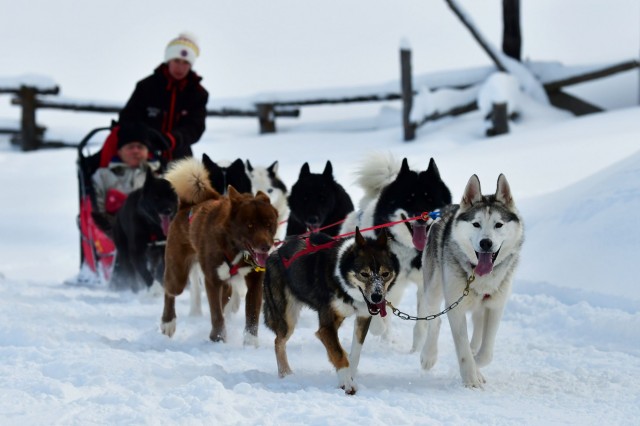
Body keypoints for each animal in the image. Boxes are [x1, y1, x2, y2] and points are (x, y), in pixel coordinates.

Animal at [160, 158, 278, 344]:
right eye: (250, 225)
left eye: (269, 224)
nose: (265, 246)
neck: (234, 248)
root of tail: (188, 205)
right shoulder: (212, 280)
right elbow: (216, 314)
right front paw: (218, 339)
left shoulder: (254, 281)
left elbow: (252, 316)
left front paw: (250, 343)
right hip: (177, 274)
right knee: (170, 291)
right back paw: (168, 323)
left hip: (227, 286)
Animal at [262, 228, 398, 394]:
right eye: (364, 274)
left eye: (385, 274)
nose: (377, 297)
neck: (342, 282)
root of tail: (275, 253)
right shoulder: (326, 327)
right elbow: (338, 353)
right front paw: (347, 383)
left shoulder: (363, 316)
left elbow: (355, 353)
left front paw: (349, 374)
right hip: (287, 317)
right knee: (278, 341)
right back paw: (285, 373)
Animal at [418, 175, 524, 388]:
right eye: (476, 224)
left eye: (498, 225)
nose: (486, 243)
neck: (481, 277)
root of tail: (446, 209)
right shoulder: (456, 308)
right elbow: (463, 350)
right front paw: (470, 378)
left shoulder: (495, 306)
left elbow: (486, 353)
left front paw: (477, 367)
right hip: (433, 289)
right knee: (435, 321)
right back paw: (428, 355)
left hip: (479, 307)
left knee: (477, 329)